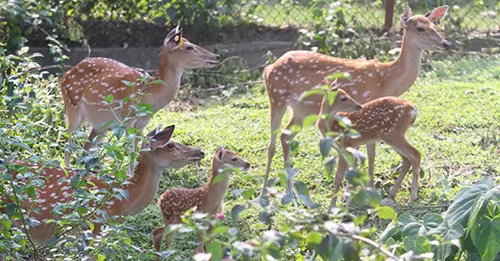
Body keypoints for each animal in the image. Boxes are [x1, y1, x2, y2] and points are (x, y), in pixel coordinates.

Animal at [60, 25, 219, 170]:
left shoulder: (142, 124)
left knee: (87, 147)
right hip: (72, 106)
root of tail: (65, 75)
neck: (151, 96)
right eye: (188, 47)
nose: (216, 57)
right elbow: (130, 157)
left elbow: (136, 154)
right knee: (67, 145)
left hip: (101, 124)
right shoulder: (128, 119)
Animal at [260, 4, 452, 195]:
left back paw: (289, 190)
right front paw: (356, 190)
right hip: (276, 98)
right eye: (420, 28)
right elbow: (366, 153)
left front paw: (366, 188)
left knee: (285, 136)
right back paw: (265, 192)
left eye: (434, 25)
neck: (386, 79)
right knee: (272, 144)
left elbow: (369, 153)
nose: (447, 44)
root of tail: (268, 68)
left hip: (301, 112)